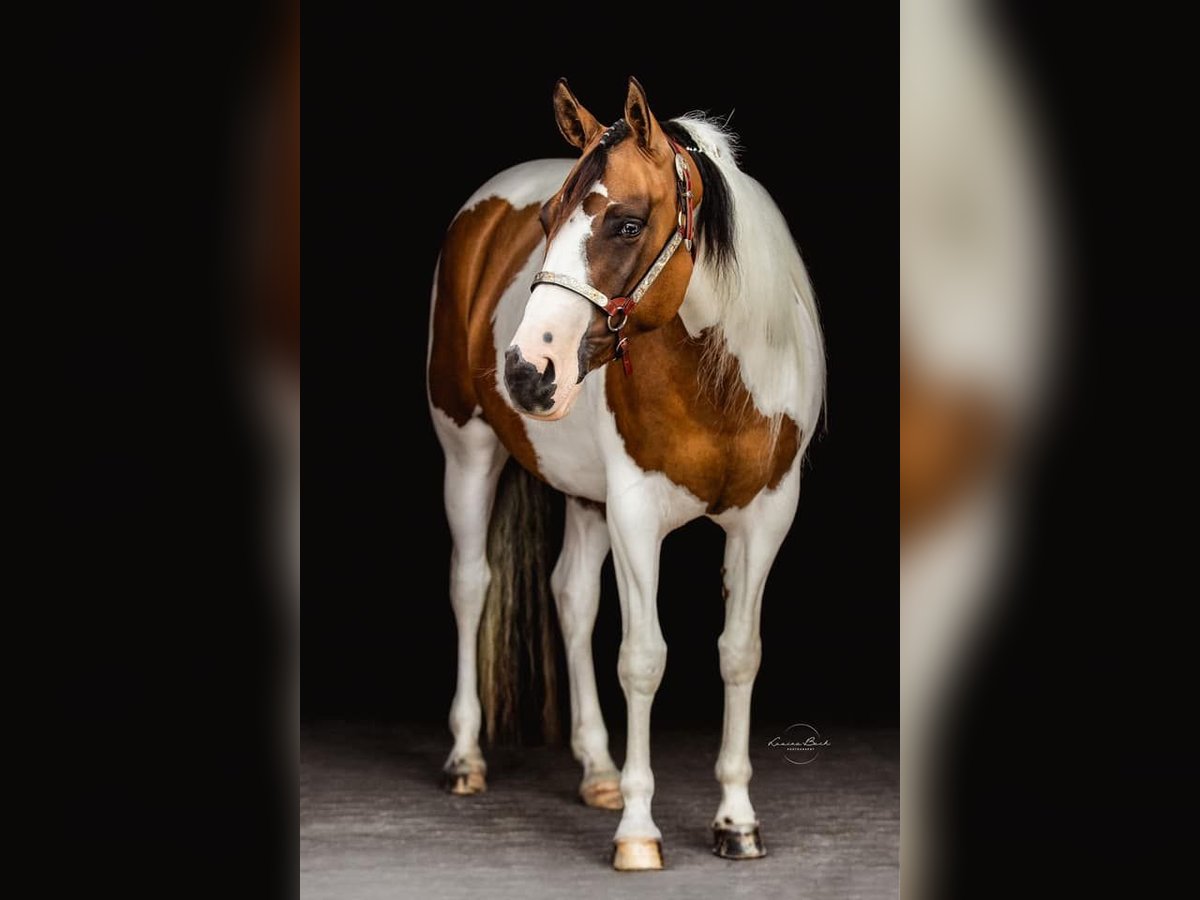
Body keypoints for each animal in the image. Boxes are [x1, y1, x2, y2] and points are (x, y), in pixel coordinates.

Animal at [426, 76, 825, 871]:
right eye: (546, 219)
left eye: (628, 223)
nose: (525, 372)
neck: (721, 383)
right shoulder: (637, 514)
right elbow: (643, 659)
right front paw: (639, 832)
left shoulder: (766, 518)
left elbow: (739, 655)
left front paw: (737, 822)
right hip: (468, 452)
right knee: (471, 585)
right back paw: (465, 758)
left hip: (586, 496)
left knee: (572, 598)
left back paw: (599, 771)